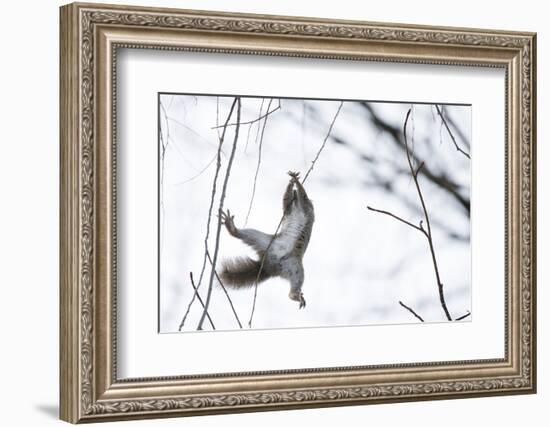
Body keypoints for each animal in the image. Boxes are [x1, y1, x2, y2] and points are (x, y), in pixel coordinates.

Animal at [220, 172, 314, 310]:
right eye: (292, 196)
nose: (294, 192)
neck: (296, 207)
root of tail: (268, 266)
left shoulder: (306, 206)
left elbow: (303, 197)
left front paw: (295, 181)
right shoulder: (288, 210)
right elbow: (285, 202)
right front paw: (291, 183)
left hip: (295, 268)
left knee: (296, 282)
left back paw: (294, 295)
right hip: (262, 241)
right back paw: (232, 228)